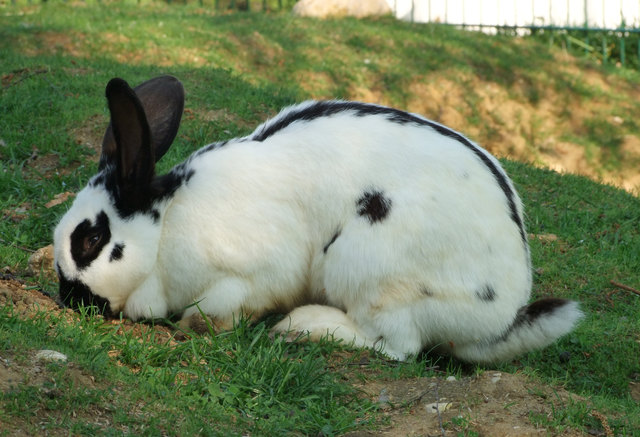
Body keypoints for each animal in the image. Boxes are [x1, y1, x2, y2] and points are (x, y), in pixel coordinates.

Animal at [53, 75, 583, 363]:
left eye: (91, 240)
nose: (70, 299)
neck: (167, 227)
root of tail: (502, 317)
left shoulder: (250, 274)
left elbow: (223, 306)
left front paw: (196, 326)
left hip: (372, 269)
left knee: (398, 345)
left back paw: (302, 326)